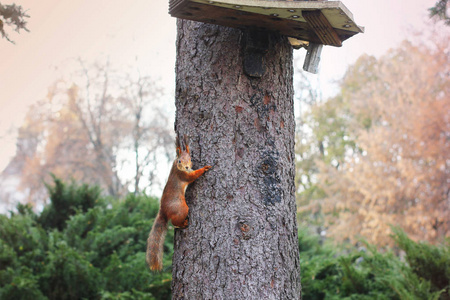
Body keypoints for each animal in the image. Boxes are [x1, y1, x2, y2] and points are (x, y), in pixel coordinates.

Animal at [146, 135, 213, 270]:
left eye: (190, 159)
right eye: (180, 161)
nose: (187, 167)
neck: (175, 166)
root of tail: (163, 211)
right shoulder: (183, 175)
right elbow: (193, 176)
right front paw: (204, 168)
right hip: (181, 209)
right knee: (174, 222)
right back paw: (183, 223)